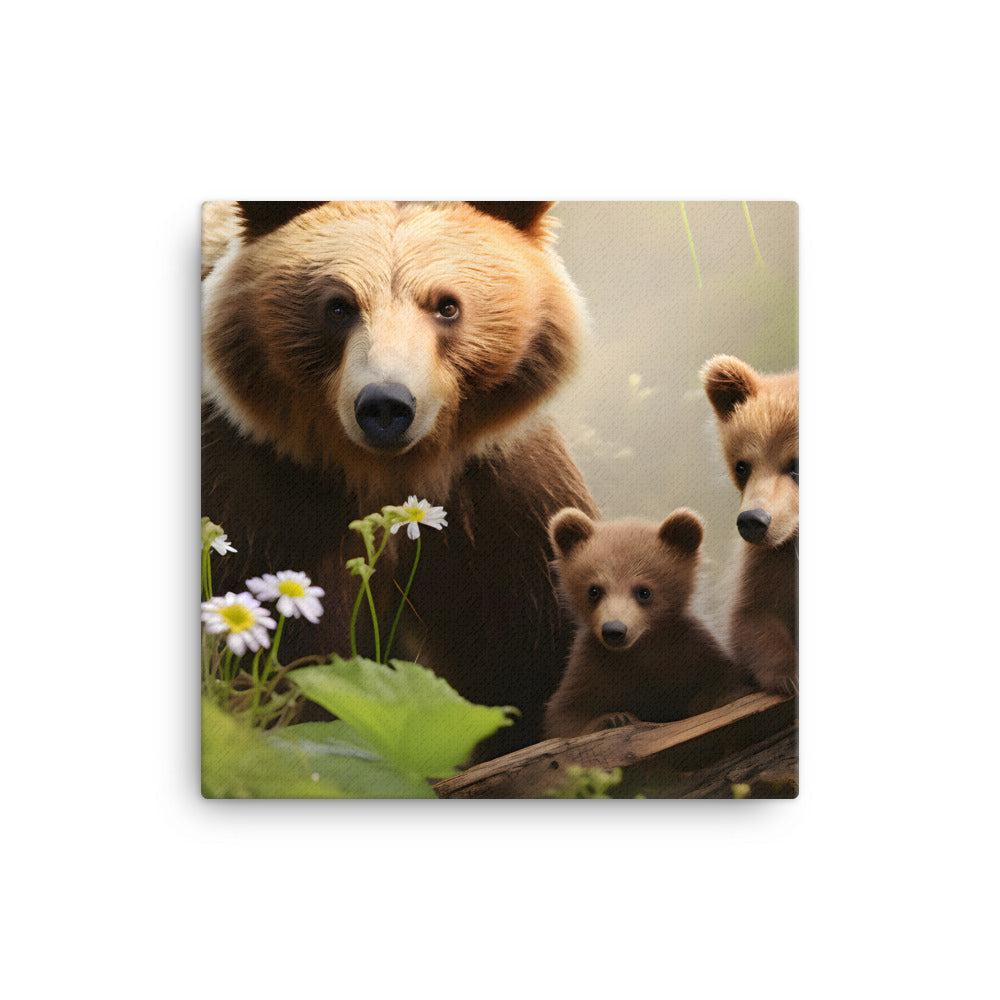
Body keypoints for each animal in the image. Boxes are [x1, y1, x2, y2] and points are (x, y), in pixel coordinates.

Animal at [202, 201, 597, 756]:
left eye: (447, 305)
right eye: (339, 305)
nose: (386, 404)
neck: (387, 475)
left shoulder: (500, 501)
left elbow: (526, 649)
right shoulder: (259, 491)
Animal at [542, 507, 750, 739]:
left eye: (644, 591)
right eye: (594, 590)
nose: (614, 630)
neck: (642, 646)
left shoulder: (692, 649)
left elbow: (726, 683)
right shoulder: (592, 665)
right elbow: (565, 714)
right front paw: (614, 718)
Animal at [701, 355, 798, 696]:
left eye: (796, 465)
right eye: (742, 466)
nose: (753, 521)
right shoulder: (772, 560)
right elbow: (752, 615)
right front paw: (788, 674)